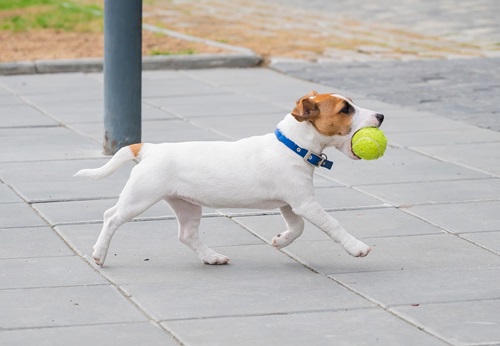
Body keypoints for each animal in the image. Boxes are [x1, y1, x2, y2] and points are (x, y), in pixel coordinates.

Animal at [74, 90, 384, 266]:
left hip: (187, 205)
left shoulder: (290, 204)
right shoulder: (304, 203)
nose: (381, 115)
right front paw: (357, 248)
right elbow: (333, 224)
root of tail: (148, 148)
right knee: (111, 217)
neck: (291, 145)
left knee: (187, 235)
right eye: (346, 109)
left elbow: (297, 228)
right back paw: (99, 254)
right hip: (139, 197)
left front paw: (280, 241)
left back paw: (211, 257)